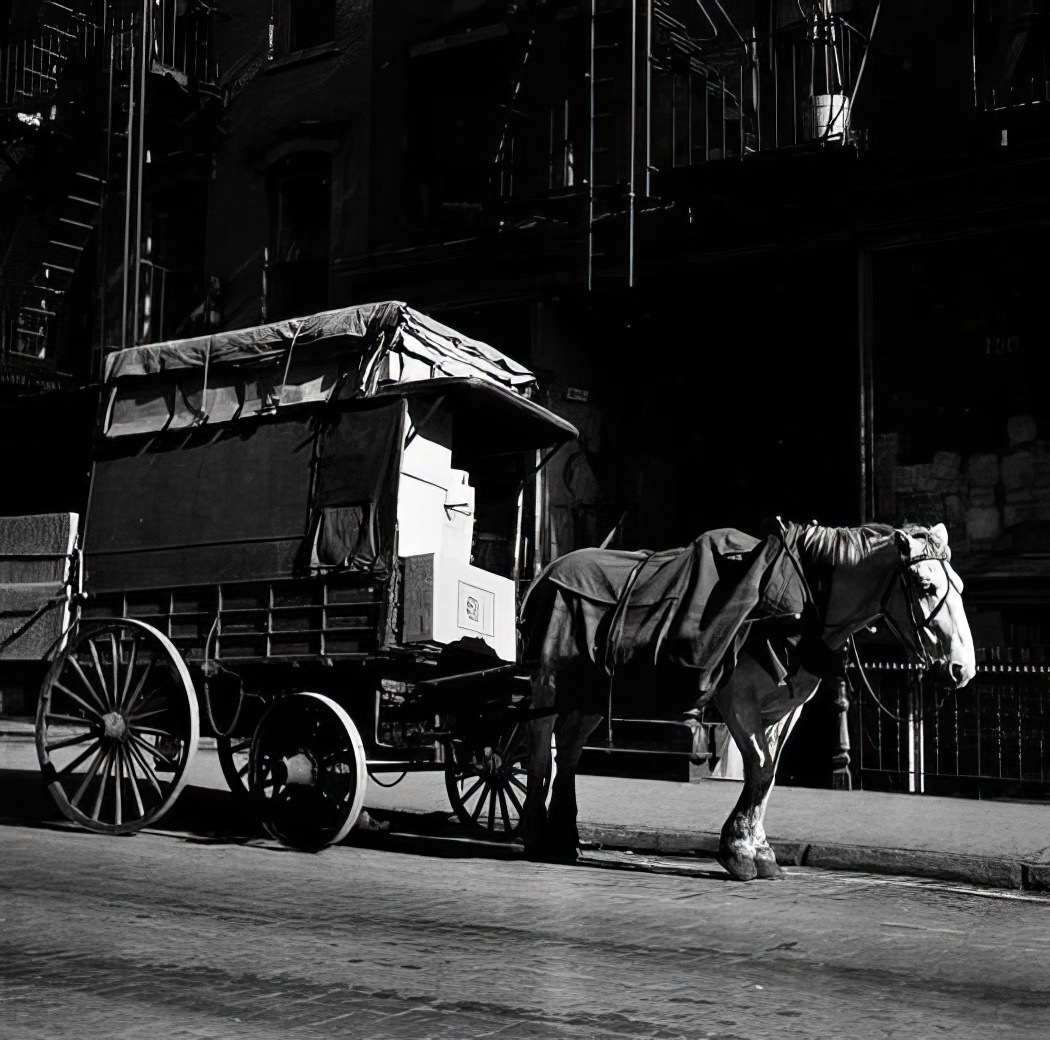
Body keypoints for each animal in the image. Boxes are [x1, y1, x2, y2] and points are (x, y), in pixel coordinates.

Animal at [516, 521, 974, 878]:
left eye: (960, 587)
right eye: (926, 586)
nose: (962, 669)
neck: (801, 606)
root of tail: (547, 572)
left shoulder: (787, 707)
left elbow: (767, 773)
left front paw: (758, 848)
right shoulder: (737, 700)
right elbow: (758, 768)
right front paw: (739, 849)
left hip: (588, 693)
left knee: (568, 751)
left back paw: (563, 837)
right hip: (548, 681)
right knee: (539, 751)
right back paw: (535, 831)